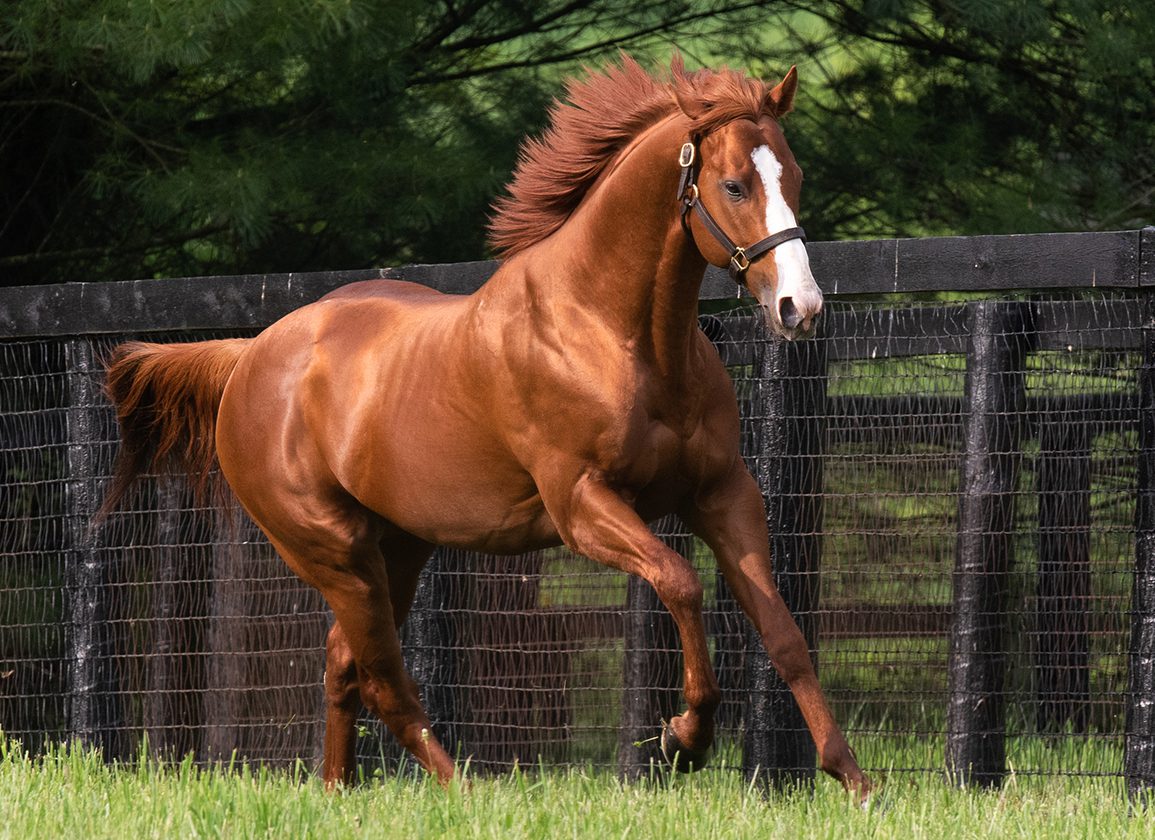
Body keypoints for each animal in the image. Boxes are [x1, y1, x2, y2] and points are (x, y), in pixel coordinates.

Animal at [100, 56, 870, 797]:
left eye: (794, 176)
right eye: (735, 185)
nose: (800, 307)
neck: (612, 332)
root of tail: (249, 357)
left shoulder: (722, 494)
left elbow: (783, 633)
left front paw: (852, 778)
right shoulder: (582, 506)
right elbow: (680, 582)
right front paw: (684, 739)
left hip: (397, 550)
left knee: (343, 664)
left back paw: (337, 790)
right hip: (333, 550)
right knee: (384, 681)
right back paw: (462, 789)